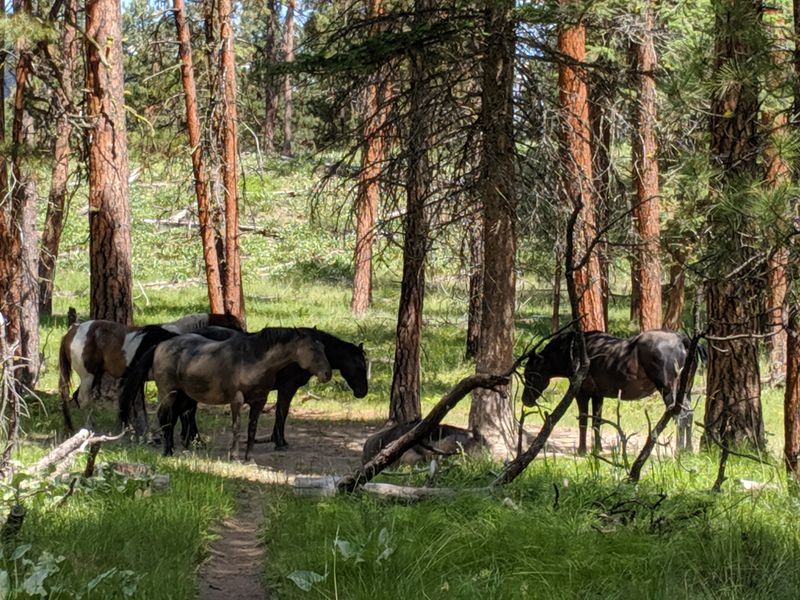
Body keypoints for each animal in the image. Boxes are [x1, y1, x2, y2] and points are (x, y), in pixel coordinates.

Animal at [58, 313, 242, 432]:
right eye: (232, 326)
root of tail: (71, 332)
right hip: (88, 376)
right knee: (83, 398)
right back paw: (89, 427)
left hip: (95, 375)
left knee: (77, 397)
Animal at [122, 327, 332, 460]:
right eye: (311, 348)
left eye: (323, 347)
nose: (327, 374)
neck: (254, 360)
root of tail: (160, 345)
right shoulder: (236, 400)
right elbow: (237, 428)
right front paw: (234, 456)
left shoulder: (259, 401)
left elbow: (252, 429)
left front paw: (249, 458)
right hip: (169, 392)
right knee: (164, 417)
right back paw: (167, 451)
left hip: (183, 395)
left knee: (172, 418)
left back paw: (173, 449)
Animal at [522, 330, 704, 454]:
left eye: (530, 374)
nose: (525, 400)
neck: (571, 351)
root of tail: (682, 340)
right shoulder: (598, 395)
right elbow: (597, 422)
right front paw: (597, 448)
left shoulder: (581, 393)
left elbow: (583, 421)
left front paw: (582, 450)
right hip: (686, 389)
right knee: (689, 414)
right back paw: (688, 448)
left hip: (669, 388)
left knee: (680, 416)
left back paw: (679, 449)